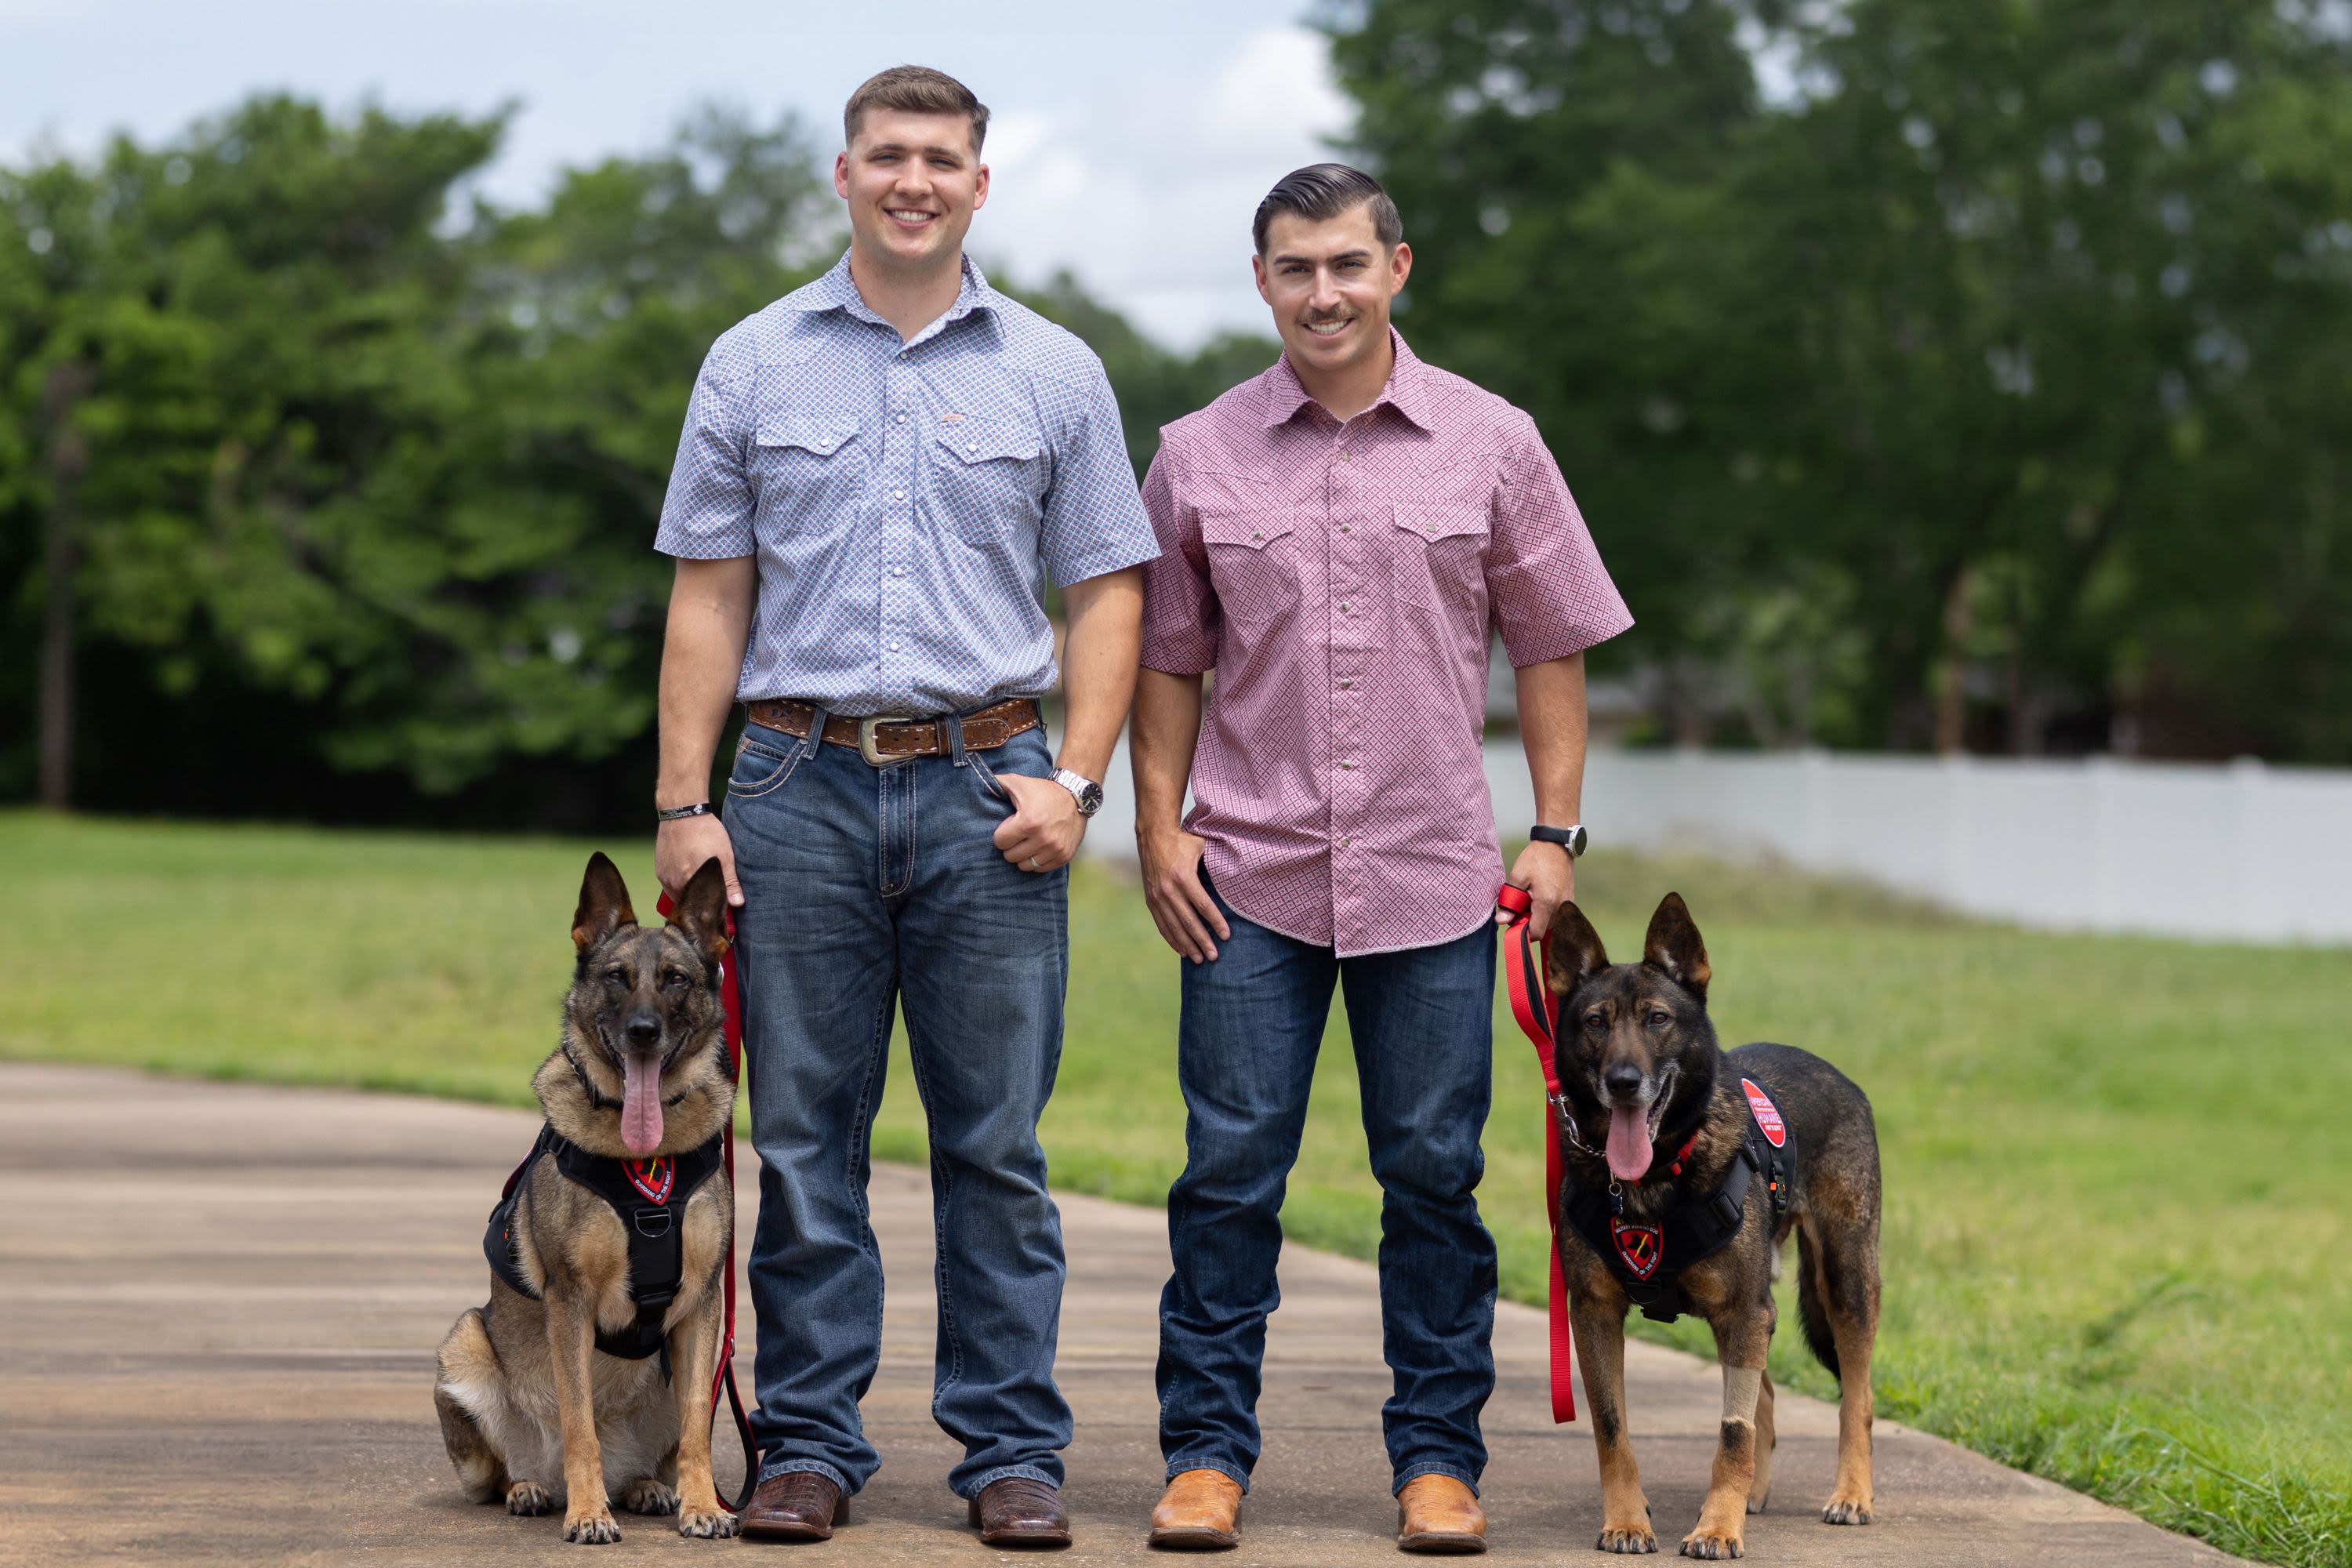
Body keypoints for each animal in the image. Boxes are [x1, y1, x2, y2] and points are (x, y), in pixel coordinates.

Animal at [433, 851, 739, 1542]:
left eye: (675, 980)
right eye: (617, 979)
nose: (644, 1032)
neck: (644, 1155)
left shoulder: (703, 1303)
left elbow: (698, 1429)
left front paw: (703, 1506)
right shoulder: (569, 1302)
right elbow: (579, 1425)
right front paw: (588, 1513)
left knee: (656, 1452)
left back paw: (647, 1487)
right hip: (464, 1342)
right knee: (505, 1472)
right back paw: (533, 1490)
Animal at [1552, 893, 1882, 1561]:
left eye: (1657, 1019)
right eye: (1596, 1022)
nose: (1623, 1082)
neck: (1655, 1176)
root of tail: (1839, 1074)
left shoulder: (1742, 1311)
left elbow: (1733, 1431)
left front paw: (1717, 1528)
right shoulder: (1595, 1312)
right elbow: (1611, 1426)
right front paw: (1628, 1521)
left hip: (1842, 1280)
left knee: (1856, 1400)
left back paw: (1851, 1493)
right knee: (1768, 1398)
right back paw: (1755, 1493)